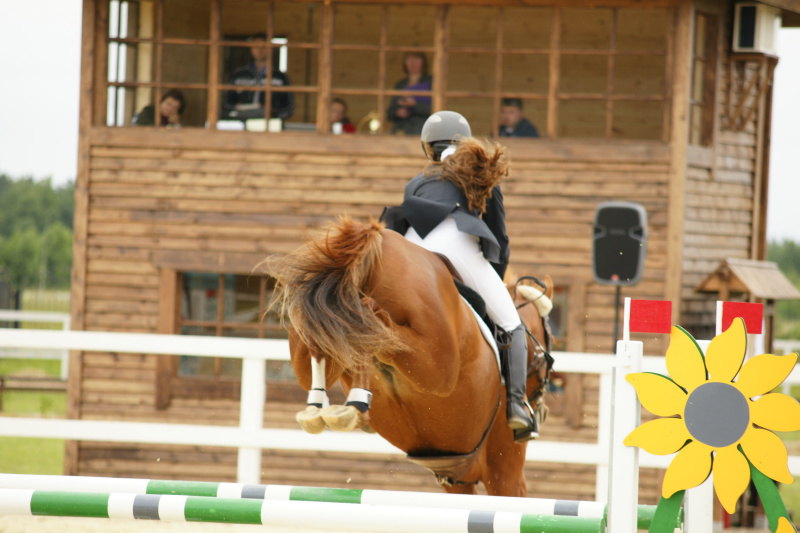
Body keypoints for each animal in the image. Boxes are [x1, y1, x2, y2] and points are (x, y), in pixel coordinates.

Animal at [272, 215, 552, 494]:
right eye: (549, 339)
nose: (539, 412)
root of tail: (379, 241)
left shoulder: (456, 475)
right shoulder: (503, 472)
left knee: (324, 341)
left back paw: (324, 406)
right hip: (436, 368)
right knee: (374, 327)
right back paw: (353, 399)